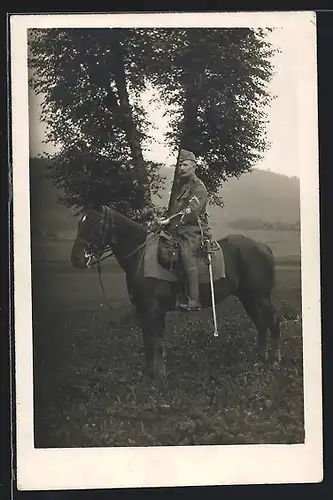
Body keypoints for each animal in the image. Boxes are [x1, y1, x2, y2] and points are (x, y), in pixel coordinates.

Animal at [70, 205, 280, 380]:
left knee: (272, 322)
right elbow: (147, 341)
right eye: (80, 223)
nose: (77, 258)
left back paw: (274, 360)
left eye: (95, 223)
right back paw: (260, 358)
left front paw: (159, 376)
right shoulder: (142, 310)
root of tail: (263, 247)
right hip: (248, 298)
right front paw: (149, 374)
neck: (142, 257)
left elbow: (157, 342)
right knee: (261, 324)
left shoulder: (155, 310)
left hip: (260, 298)